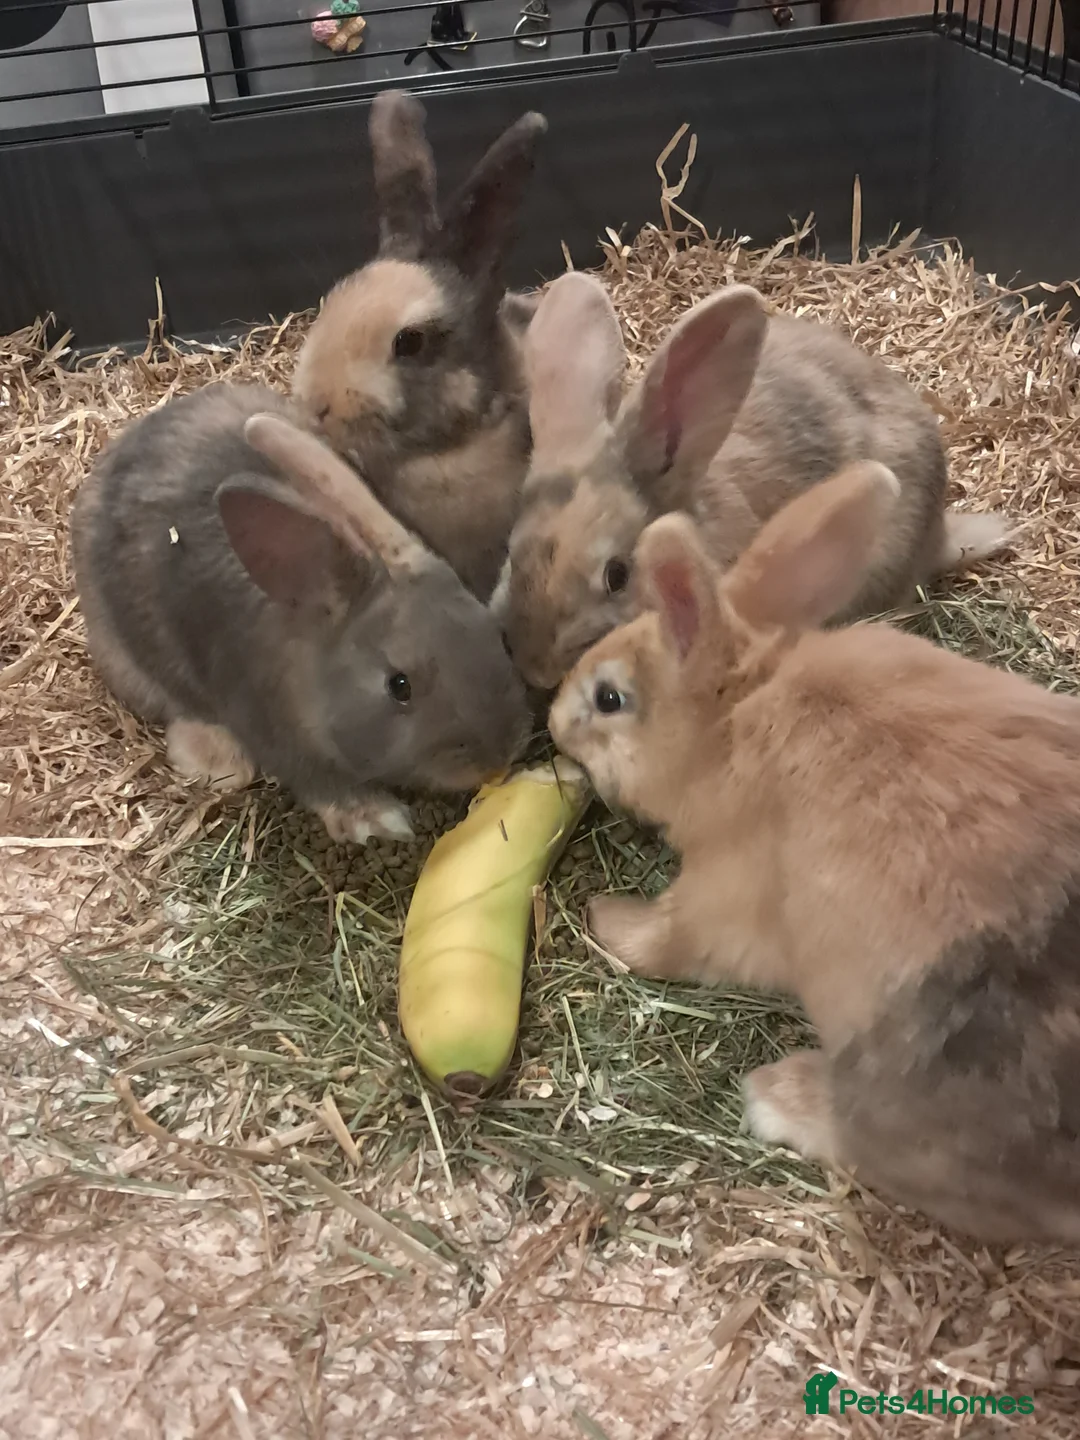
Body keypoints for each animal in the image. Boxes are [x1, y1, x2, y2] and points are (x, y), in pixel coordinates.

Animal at [71, 382, 531, 845]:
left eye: (497, 637)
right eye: (399, 686)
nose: (497, 758)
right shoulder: (268, 727)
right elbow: (315, 779)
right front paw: (374, 819)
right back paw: (218, 761)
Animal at [548, 462, 1080, 1244]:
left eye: (610, 698)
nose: (554, 721)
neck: (734, 719)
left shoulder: (720, 894)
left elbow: (668, 938)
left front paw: (603, 917)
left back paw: (779, 1095)